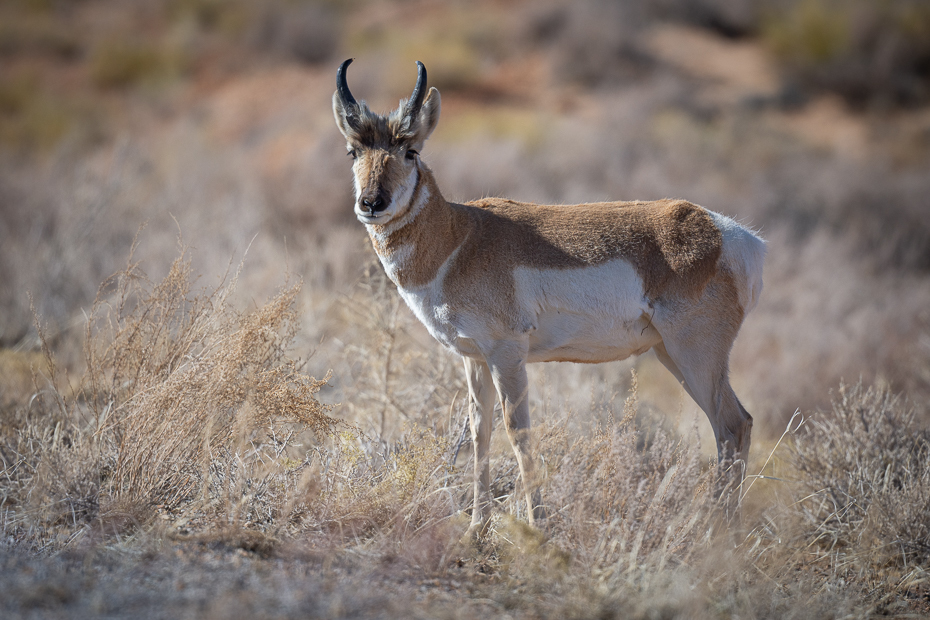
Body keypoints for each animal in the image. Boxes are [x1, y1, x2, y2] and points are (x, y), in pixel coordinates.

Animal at [332, 59, 760, 532]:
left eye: (410, 150)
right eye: (353, 151)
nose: (372, 203)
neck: (460, 237)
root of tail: (728, 234)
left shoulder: (507, 354)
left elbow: (518, 433)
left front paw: (537, 527)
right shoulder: (474, 358)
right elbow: (479, 434)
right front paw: (475, 529)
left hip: (695, 355)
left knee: (733, 426)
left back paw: (716, 533)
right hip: (672, 355)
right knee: (733, 426)